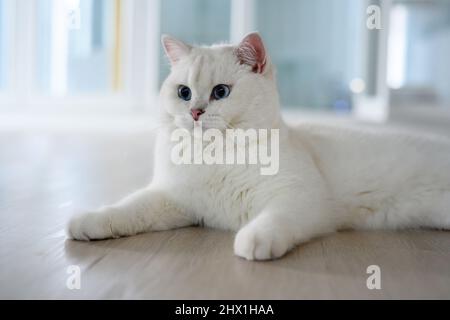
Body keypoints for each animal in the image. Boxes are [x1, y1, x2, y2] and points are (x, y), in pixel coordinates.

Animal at [67, 33, 450, 260]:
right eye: (184, 92)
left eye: (221, 92)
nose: (194, 112)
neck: (215, 157)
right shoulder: (172, 198)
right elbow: (128, 208)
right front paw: (89, 221)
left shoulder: (300, 197)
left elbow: (275, 219)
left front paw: (253, 240)